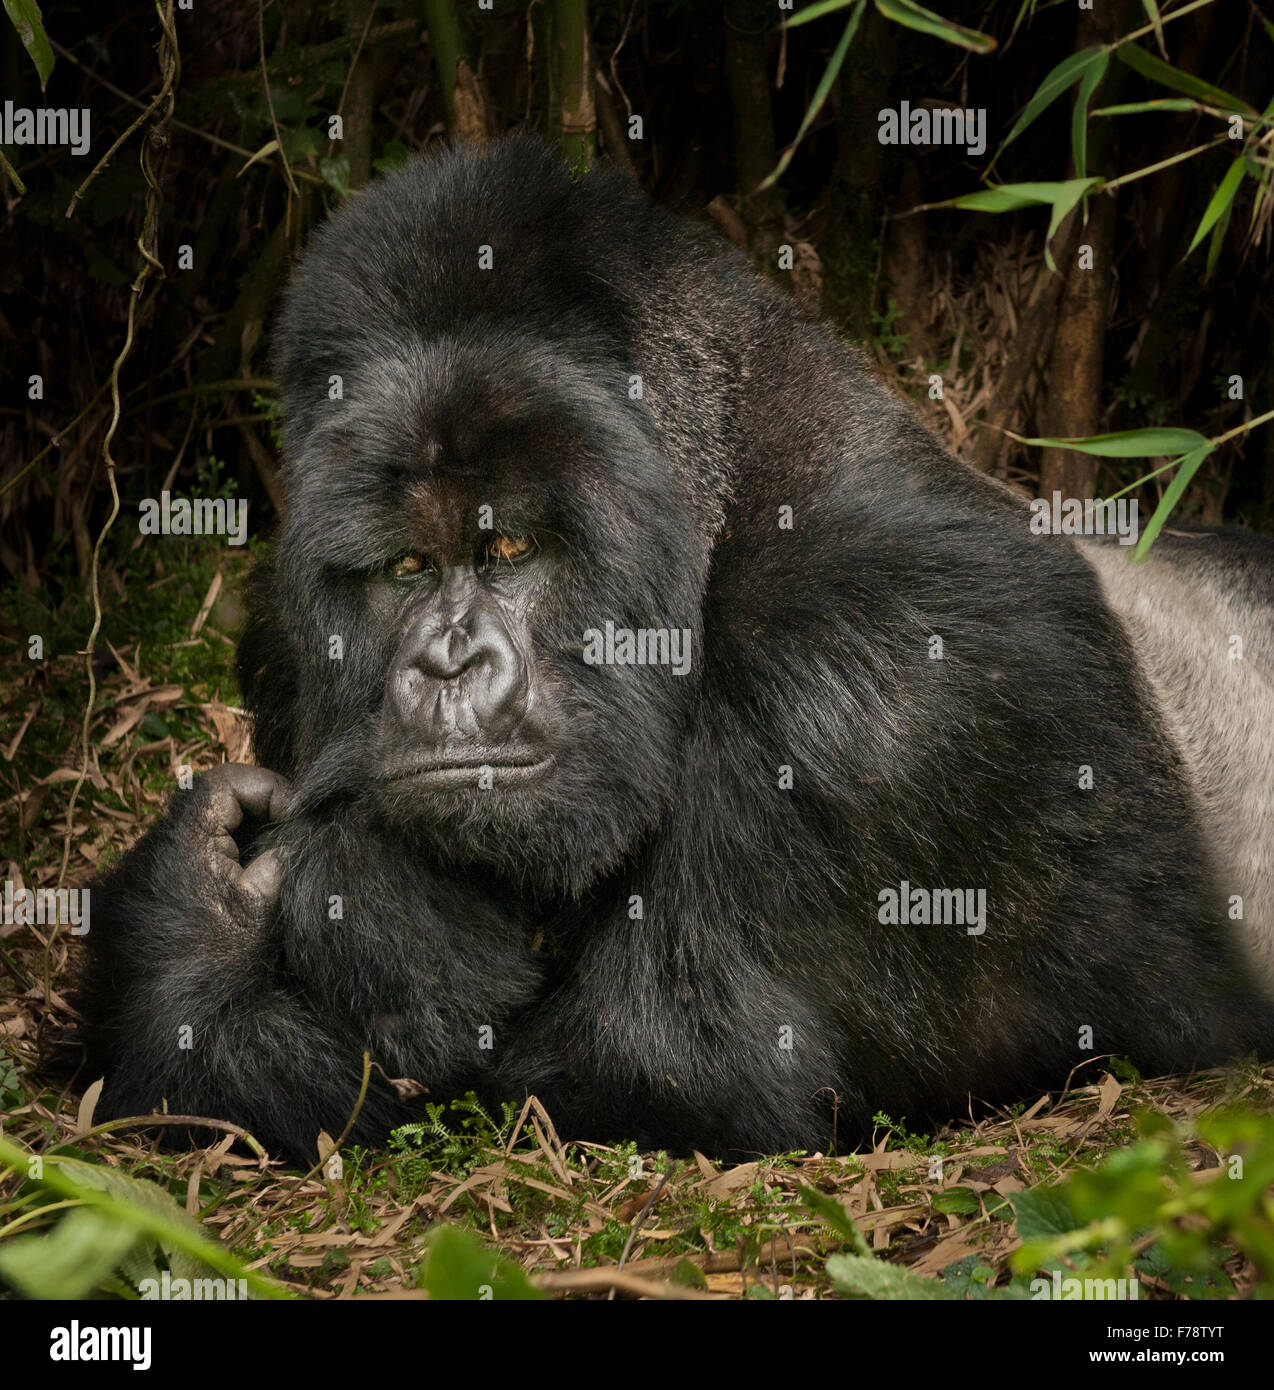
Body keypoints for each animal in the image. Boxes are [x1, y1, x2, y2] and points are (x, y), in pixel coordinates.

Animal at [77, 138, 1272, 1162]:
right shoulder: (286, 638)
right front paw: (196, 906)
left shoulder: (887, 675)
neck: (726, 502)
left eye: (508, 545)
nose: (446, 666)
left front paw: (321, 900)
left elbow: (658, 1072)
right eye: (406, 569)